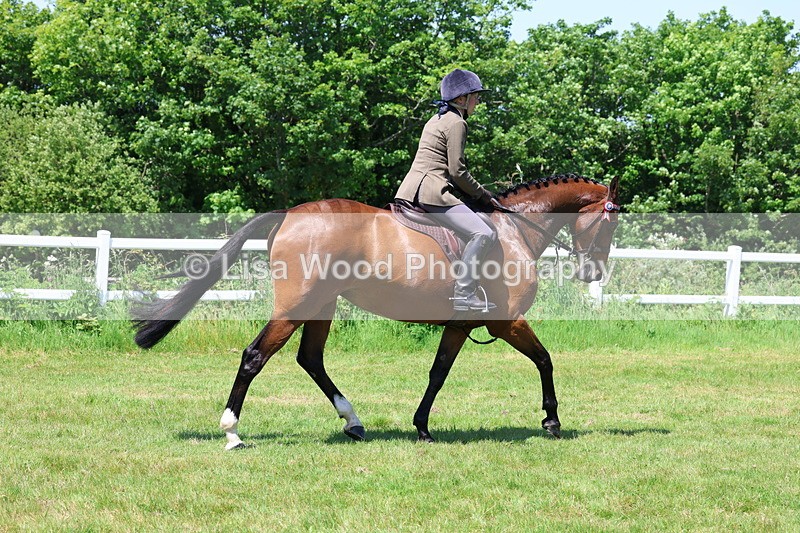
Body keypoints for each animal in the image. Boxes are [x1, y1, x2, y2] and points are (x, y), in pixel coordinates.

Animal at [133, 174, 620, 449]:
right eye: (610, 221)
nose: (593, 271)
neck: (513, 231)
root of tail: (289, 213)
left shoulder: (461, 324)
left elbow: (438, 373)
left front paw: (422, 427)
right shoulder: (507, 322)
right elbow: (545, 359)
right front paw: (552, 420)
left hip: (322, 305)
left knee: (310, 359)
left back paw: (353, 422)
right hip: (298, 305)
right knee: (255, 356)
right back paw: (232, 432)